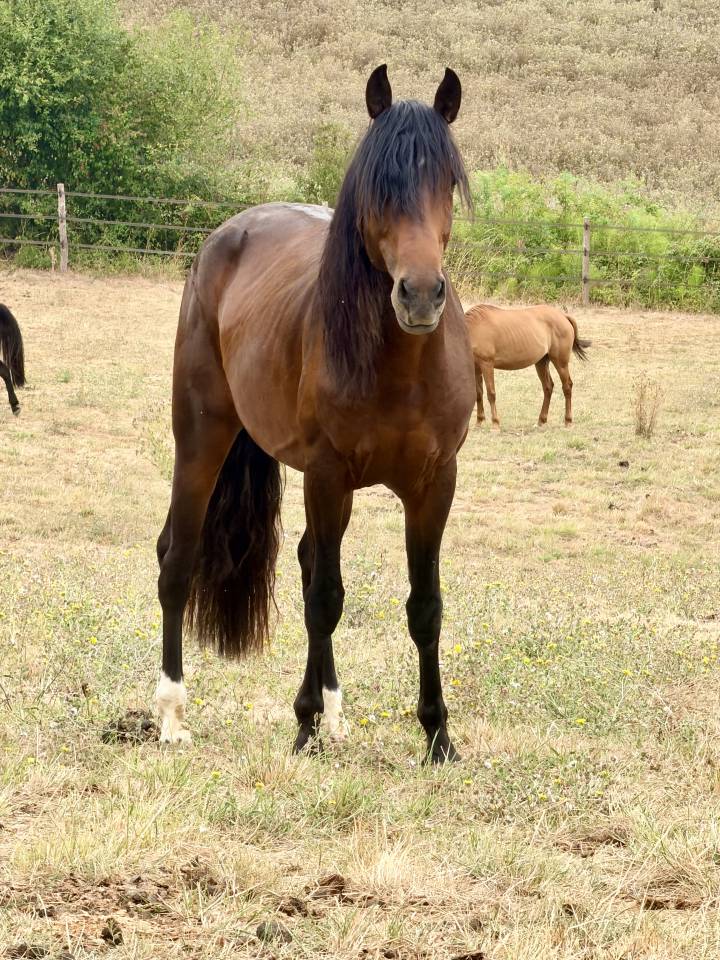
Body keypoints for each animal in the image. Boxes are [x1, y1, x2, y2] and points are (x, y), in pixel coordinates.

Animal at [154, 64, 475, 764]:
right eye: (379, 186)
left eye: (446, 181)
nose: (419, 295)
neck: (400, 366)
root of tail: (226, 237)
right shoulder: (325, 475)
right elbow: (327, 599)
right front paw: (301, 726)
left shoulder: (434, 484)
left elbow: (425, 606)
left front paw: (437, 734)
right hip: (202, 437)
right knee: (178, 559)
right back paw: (171, 714)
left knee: (304, 563)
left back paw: (333, 713)